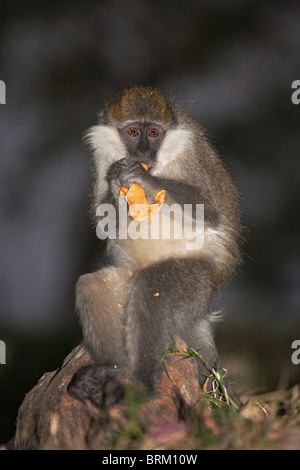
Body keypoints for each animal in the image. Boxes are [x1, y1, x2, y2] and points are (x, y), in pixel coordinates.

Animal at [67, 85, 241, 408]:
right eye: (134, 132)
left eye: (154, 133)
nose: (143, 153)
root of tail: (201, 310)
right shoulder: (102, 157)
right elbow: (104, 219)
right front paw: (118, 180)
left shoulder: (191, 150)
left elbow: (210, 211)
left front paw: (142, 176)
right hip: (128, 283)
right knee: (93, 288)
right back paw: (112, 370)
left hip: (195, 284)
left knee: (152, 290)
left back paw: (140, 386)